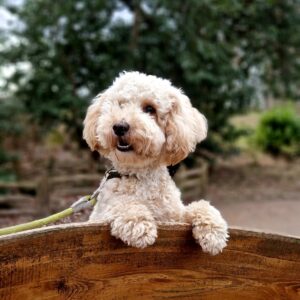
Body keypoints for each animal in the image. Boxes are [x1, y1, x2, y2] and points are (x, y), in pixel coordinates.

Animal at [82, 71, 227, 254]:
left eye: (150, 109)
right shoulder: (102, 215)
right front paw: (139, 224)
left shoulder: (175, 218)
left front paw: (214, 231)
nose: (119, 126)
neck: (140, 175)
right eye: (120, 105)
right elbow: (123, 204)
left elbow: (199, 206)